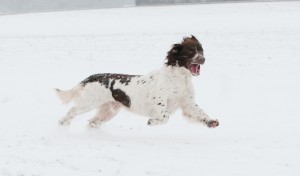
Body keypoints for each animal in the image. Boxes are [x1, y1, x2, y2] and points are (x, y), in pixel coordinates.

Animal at [55, 35, 218, 129]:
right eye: (190, 51)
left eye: (201, 51)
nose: (203, 59)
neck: (179, 79)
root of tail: (92, 77)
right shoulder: (160, 102)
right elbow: (164, 117)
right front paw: (152, 122)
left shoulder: (187, 103)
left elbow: (200, 113)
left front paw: (211, 122)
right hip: (89, 103)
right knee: (72, 111)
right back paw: (63, 123)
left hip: (109, 110)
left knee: (92, 121)